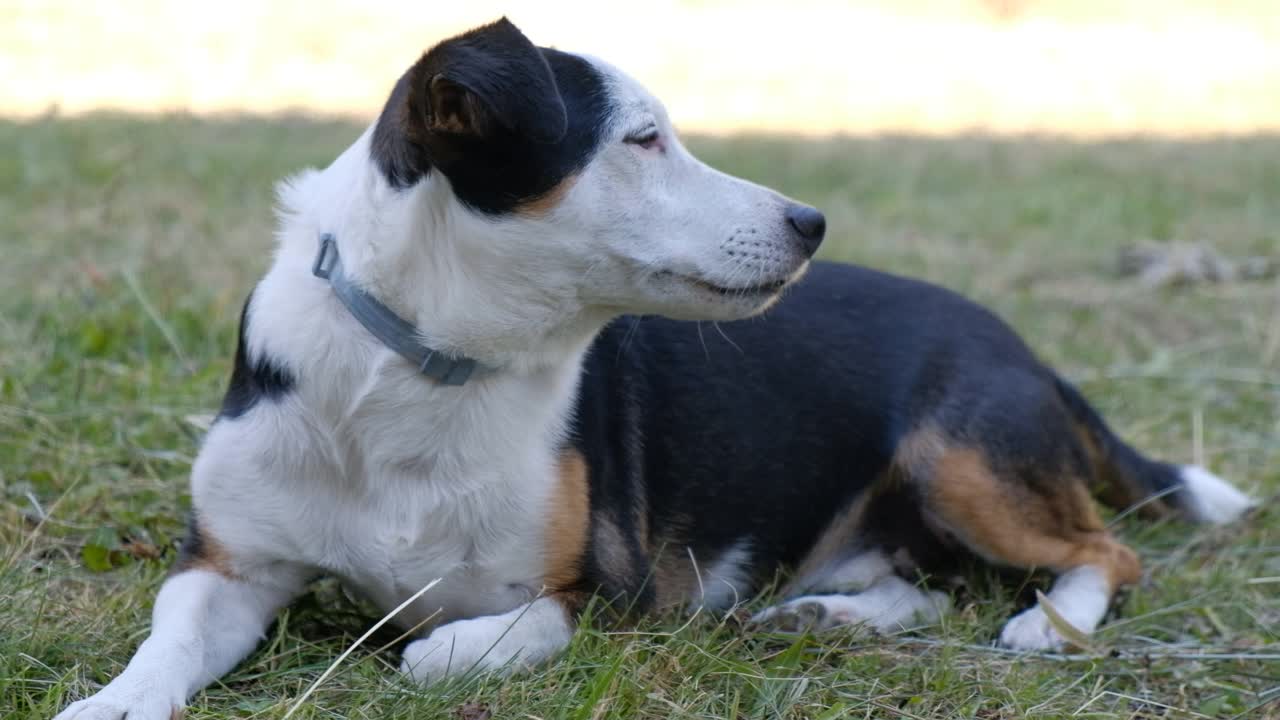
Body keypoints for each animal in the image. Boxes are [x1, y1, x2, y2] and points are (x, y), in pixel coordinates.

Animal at [55, 16, 1254, 717]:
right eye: (641, 139)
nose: (811, 222)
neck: (432, 371)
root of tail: (1021, 345)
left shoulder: (598, 595)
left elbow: (442, 648)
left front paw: (429, 650)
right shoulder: (226, 566)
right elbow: (165, 646)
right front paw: (111, 703)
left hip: (961, 457)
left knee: (1103, 552)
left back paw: (1045, 625)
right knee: (923, 586)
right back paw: (832, 615)